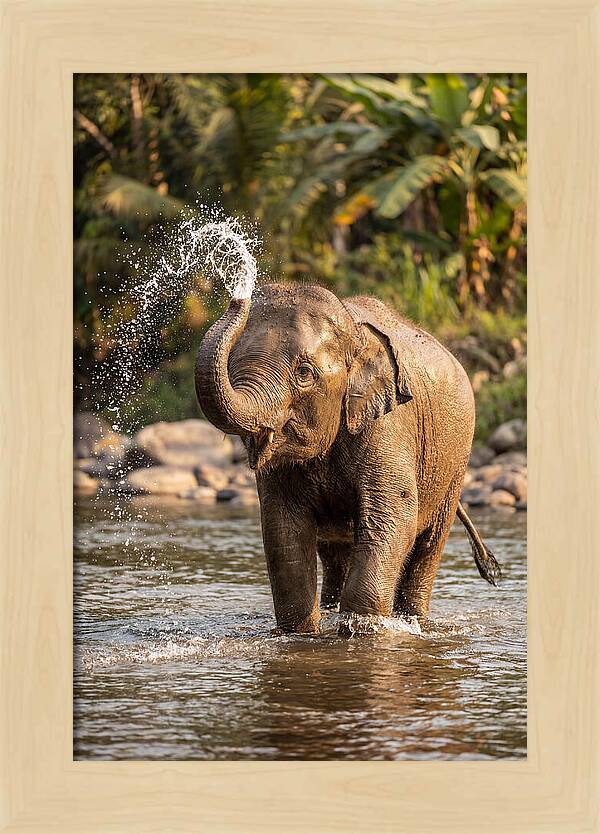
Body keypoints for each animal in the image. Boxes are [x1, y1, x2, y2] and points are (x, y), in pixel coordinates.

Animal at [195, 283, 500, 634]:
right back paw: (331, 609)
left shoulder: (389, 426)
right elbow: (283, 528)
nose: (237, 297)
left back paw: (413, 620)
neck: (354, 333)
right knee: (334, 551)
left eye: (304, 373)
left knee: (428, 544)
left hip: (455, 464)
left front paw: (361, 628)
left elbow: (393, 516)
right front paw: (303, 632)